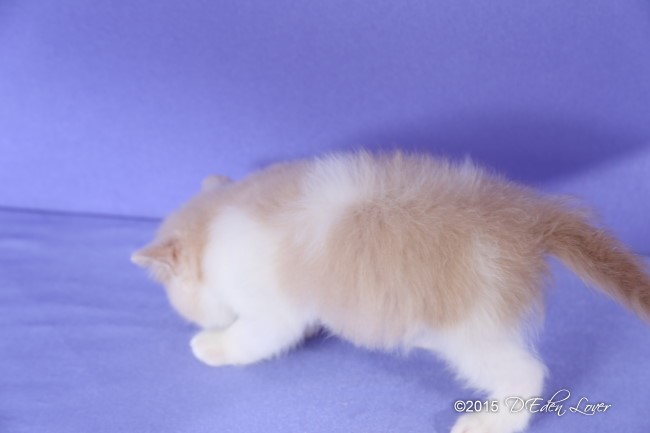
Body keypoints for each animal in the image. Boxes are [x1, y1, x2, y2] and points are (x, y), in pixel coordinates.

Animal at [132, 151, 650, 433]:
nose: (196, 319)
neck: (223, 217)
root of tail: (526, 215)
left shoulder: (273, 311)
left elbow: (251, 340)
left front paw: (213, 345)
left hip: (470, 332)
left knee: (527, 374)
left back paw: (490, 421)